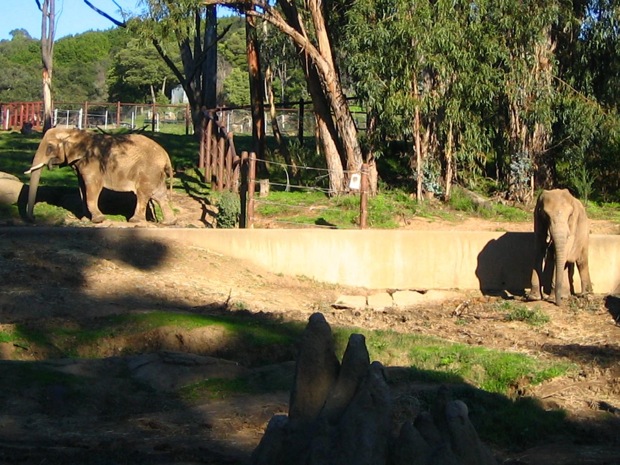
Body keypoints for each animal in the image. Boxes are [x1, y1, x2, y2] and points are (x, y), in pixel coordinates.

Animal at [25, 125, 176, 223]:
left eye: (49, 148)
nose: (34, 218)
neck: (75, 133)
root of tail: (166, 157)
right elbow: (82, 187)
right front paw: (85, 219)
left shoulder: (93, 162)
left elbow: (93, 186)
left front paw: (99, 219)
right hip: (156, 173)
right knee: (159, 195)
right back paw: (169, 222)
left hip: (148, 171)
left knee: (143, 194)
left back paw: (135, 221)